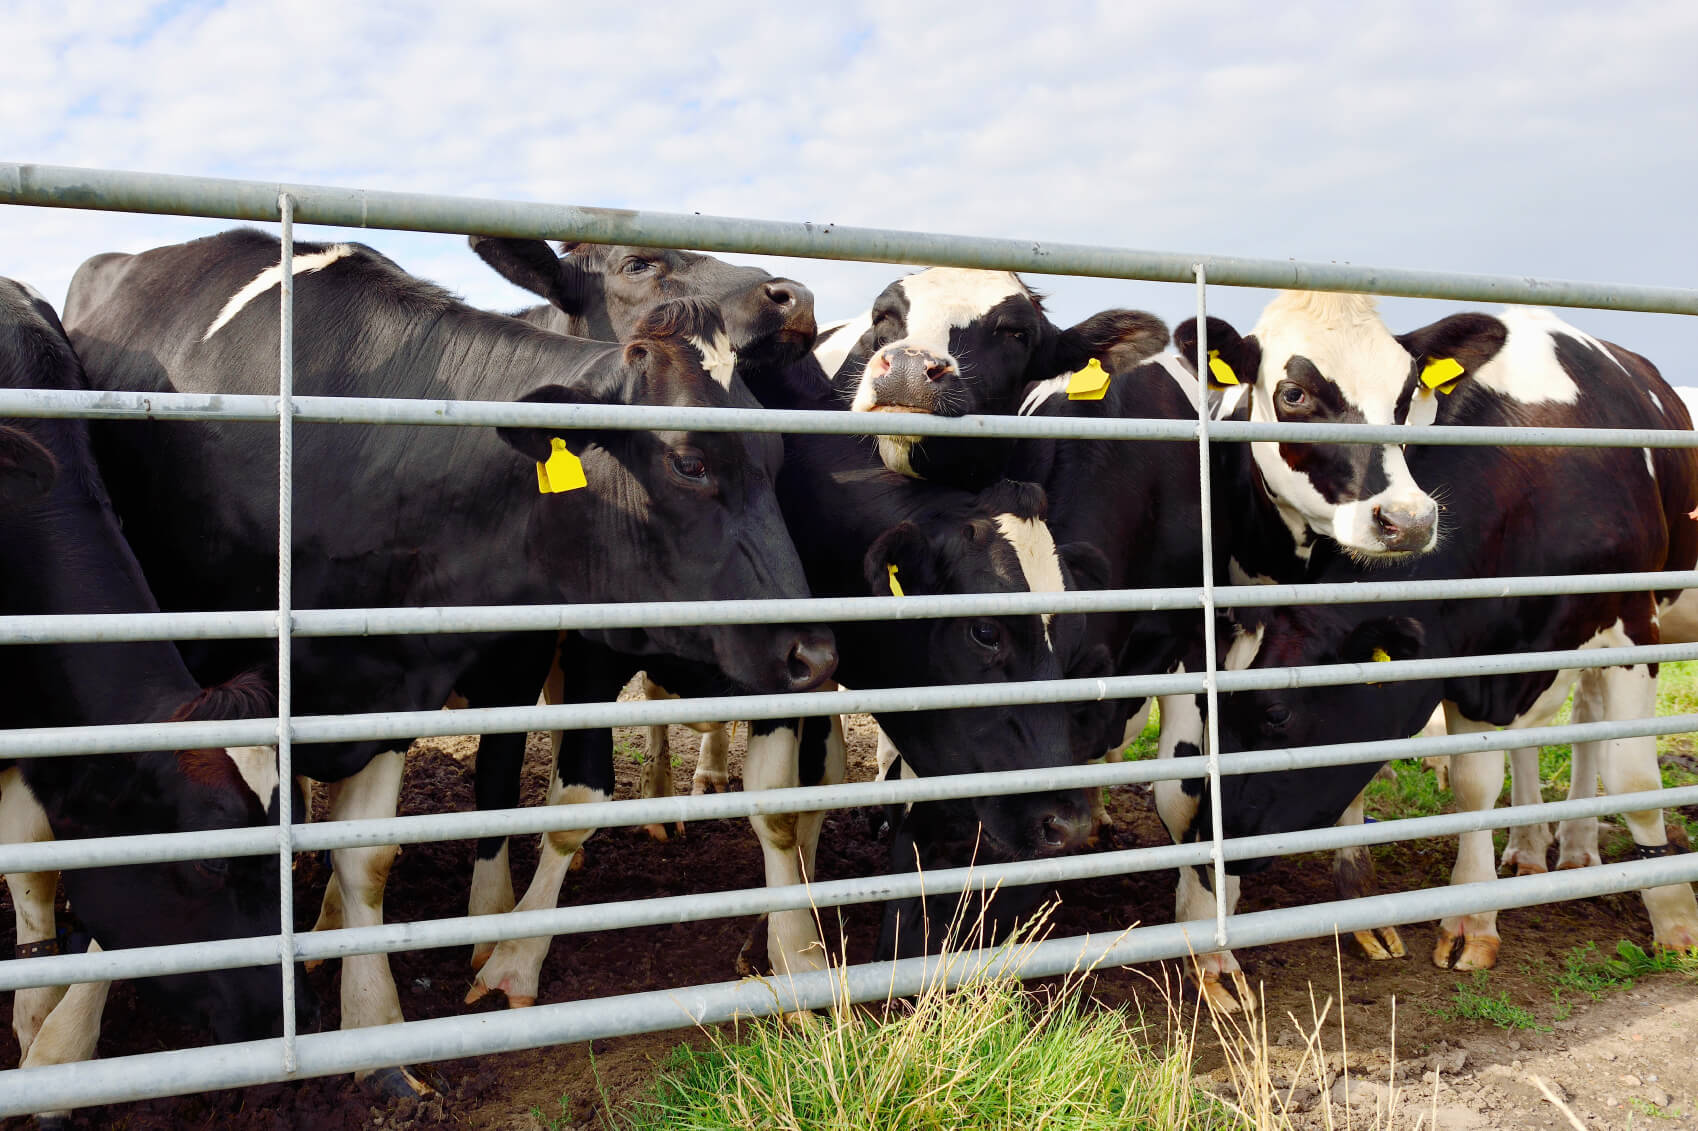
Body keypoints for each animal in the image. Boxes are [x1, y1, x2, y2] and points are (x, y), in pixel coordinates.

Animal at [59, 229, 835, 1093]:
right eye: (689, 462)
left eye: (776, 460)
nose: (813, 647)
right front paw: (61, 1038)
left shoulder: (404, 668)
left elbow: (370, 853)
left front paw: (376, 1031)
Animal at [1208, 310, 1698, 978]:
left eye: (1276, 713)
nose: (1211, 837)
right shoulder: (1473, 652)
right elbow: (1474, 785)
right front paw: (1473, 916)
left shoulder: (1630, 622)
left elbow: (1635, 782)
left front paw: (1674, 918)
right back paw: (1538, 849)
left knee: (1590, 726)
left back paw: (1576, 850)